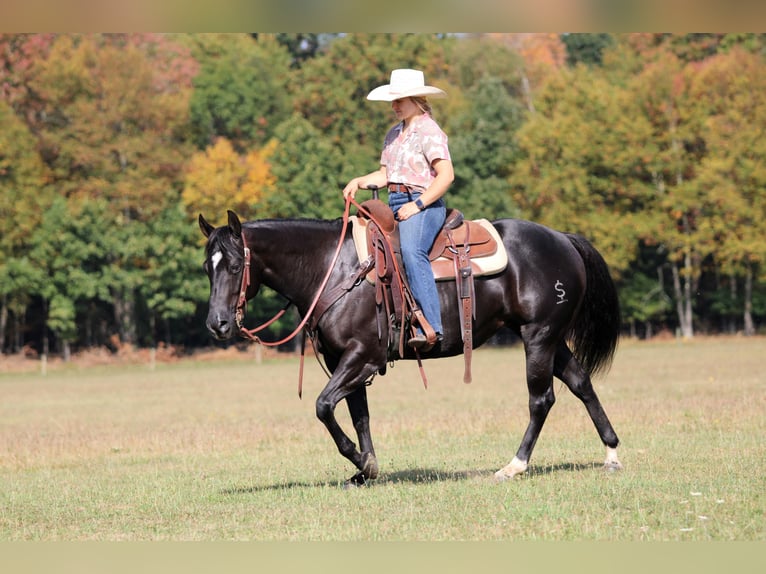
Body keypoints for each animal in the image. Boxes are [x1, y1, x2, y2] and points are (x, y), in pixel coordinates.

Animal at [198, 204, 623, 486]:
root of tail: (563, 239)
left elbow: (323, 406)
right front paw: (366, 468)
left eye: (234, 266)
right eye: (207, 267)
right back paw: (612, 453)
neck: (332, 269)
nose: (217, 324)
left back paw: (514, 465)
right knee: (581, 383)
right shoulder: (344, 360)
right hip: (550, 338)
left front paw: (360, 461)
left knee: (541, 399)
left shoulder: (361, 357)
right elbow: (358, 414)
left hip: (538, 336)